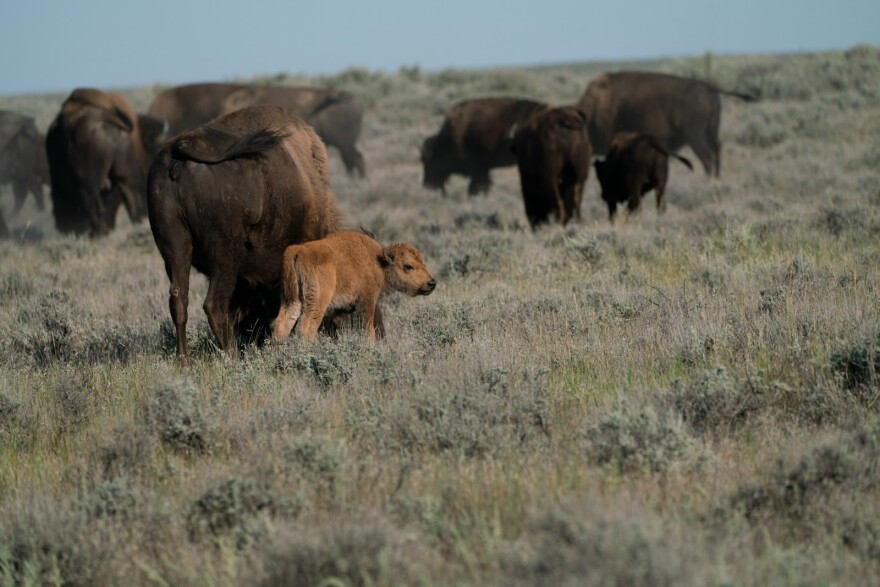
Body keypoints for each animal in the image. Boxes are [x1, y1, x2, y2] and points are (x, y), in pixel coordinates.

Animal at [46, 88, 167, 235]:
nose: (62, 227)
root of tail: (104, 119)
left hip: (89, 186)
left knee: (95, 208)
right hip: (124, 179)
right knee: (132, 202)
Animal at [148, 105, 344, 362]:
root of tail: (181, 146)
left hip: (175, 248)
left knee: (179, 299)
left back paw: (185, 361)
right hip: (224, 256)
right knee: (214, 304)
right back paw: (232, 356)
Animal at [274, 231, 434, 342]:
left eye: (423, 261)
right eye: (408, 266)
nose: (432, 283)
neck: (379, 262)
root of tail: (298, 250)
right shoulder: (367, 302)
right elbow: (368, 331)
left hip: (291, 299)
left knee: (282, 325)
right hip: (317, 302)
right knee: (306, 329)